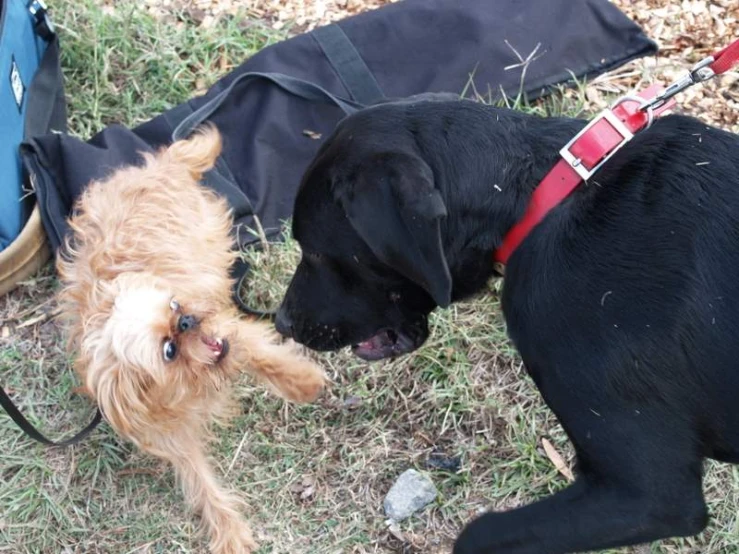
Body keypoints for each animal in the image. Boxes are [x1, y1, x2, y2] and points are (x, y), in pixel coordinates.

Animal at [55, 125, 326, 552]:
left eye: (174, 304)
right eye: (169, 351)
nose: (186, 321)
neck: (190, 384)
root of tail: (162, 166)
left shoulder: (228, 329)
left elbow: (266, 357)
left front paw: (304, 383)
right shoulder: (170, 435)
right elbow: (200, 483)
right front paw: (229, 530)